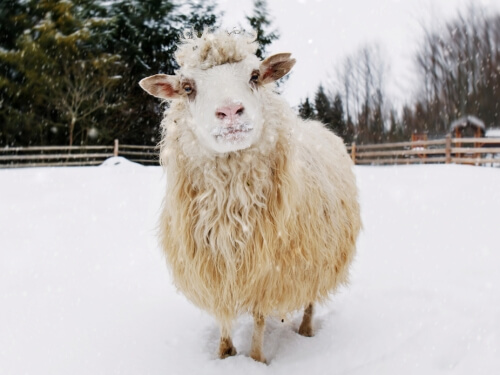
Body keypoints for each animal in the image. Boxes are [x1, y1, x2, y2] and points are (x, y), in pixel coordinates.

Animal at [139, 30, 362, 366]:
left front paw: (256, 360)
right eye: (188, 88)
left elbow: (258, 320)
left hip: (319, 255)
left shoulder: (267, 273)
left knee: (311, 298)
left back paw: (306, 329)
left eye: (255, 76)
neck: (231, 209)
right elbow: (223, 315)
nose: (230, 111)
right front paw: (224, 354)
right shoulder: (216, 268)